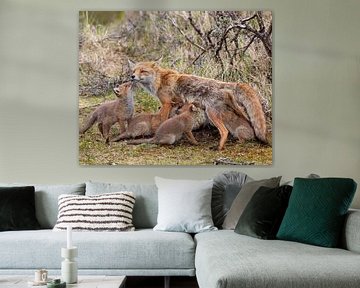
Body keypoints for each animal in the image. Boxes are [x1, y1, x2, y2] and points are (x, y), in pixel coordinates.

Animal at [129, 59, 268, 147]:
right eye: (134, 70)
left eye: (143, 71)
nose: (132, 77)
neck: (160, 81)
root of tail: (223, 85)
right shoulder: (175, 104)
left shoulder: (167, 103)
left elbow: (163, 119)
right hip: (230, 110)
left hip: (211, 113)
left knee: (224, 131)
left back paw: (219, 147)